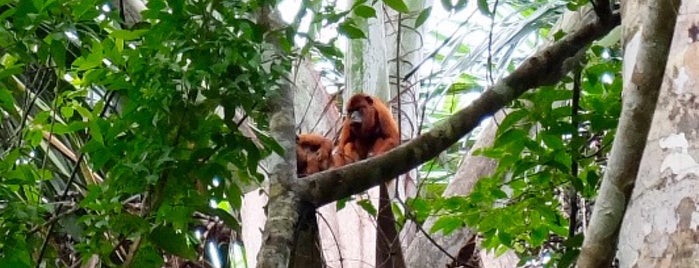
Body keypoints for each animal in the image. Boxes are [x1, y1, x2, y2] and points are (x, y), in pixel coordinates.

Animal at [334, 93, 404, 268]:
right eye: (350, 111)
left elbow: (393, 138)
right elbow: (342, 147)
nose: (353, 116)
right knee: (350, 144)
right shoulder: (347, 124)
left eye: (358, 109)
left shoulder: (382, 112)